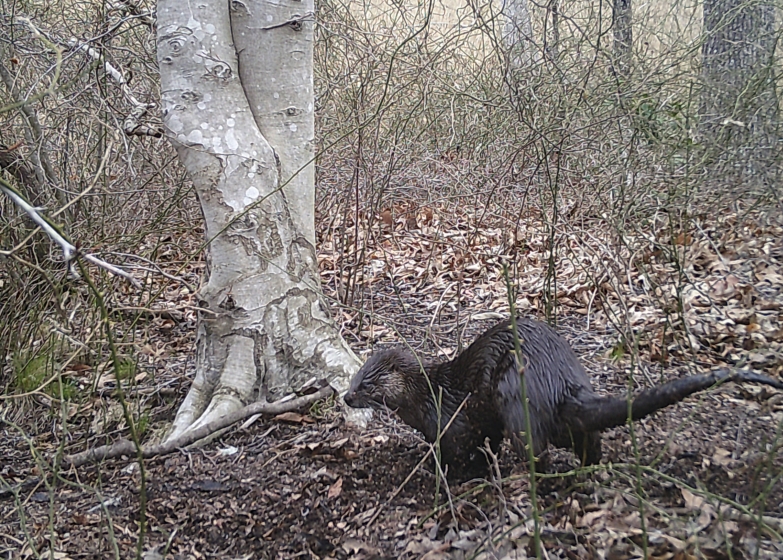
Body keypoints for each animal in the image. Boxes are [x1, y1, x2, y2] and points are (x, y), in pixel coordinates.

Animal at [344, 317, 783, 480]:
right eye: (351, 377)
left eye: (365, 384)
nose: (346, 397)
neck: (428, 396)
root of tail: (561, 385)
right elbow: (486, 443)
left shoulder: (454, 422)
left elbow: (461, 451)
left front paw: (448, 475)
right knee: (588, 440)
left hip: (514, 399)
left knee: (536, 451)